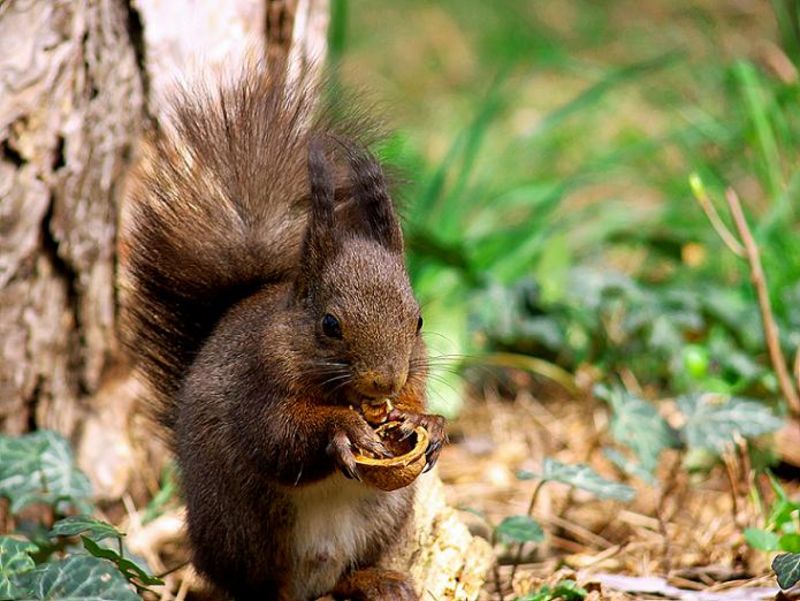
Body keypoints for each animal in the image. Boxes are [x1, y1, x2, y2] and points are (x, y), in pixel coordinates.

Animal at [119, 61, 446, 601]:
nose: (385, 380)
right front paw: (343, 430)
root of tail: (313, 578)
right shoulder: (257, 382)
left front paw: (428, 422)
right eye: (330, 324)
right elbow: (278, 439)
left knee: (353, 566)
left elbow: (415, 402)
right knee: (254, 584)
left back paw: (376, 578)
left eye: (417, 319)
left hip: (386, 515)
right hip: (246, 529)